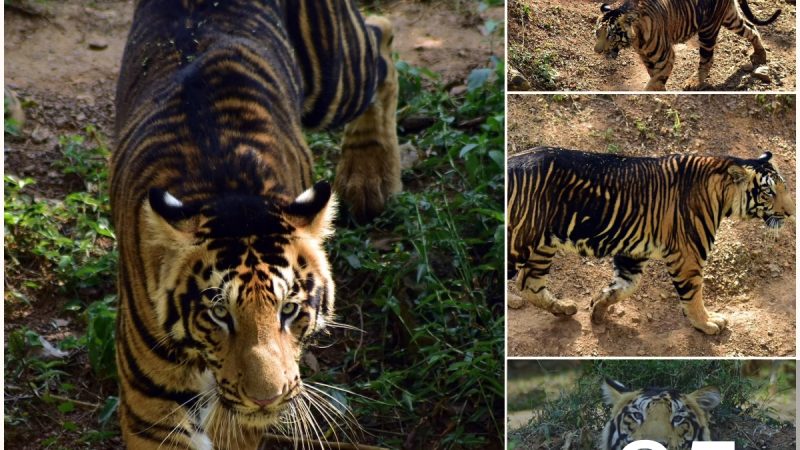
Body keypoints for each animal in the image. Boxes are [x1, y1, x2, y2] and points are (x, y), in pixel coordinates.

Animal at [108, 1, 400, 448]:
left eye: (289, 309)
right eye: (218, 312)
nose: (267, 399)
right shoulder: (150, 407)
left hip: (335, 79)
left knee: (382, 36)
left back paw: (369, 176)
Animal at [506, 148, 792, 334]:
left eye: (784, 187)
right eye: (768, 192)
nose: (790, 212)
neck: (722, 195)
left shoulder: (632, 253)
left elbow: (625, 287)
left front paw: (597, 308)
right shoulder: (688, 254)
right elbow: (693, 294)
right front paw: (706, 323)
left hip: (543, 245)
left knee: (529, 284)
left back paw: (564, 308)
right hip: (519, 242)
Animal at [592, 0, 780, 90]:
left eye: (610, 35)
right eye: (597, 33)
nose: (597, 50)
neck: (636, 40)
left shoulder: (665, 57)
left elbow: (654, 83)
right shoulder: (647, 58)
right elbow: (655, 78)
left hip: (708, 30)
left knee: (707, 59)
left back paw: (695, 82)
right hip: (730, 18)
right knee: (751, 28)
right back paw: (760, 55)